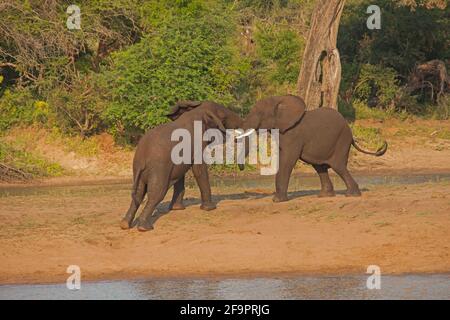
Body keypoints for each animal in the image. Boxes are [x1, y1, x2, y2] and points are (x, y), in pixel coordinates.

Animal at [120, 101, 243, 231]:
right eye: (223, 118)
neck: (197, 110)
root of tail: (142, 157)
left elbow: (179, 175)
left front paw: (177, 209)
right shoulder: (197, 144)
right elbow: (199, 170)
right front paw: (210, 209)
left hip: (138, 169)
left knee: (139, 193)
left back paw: (124, 224)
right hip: (159, 168)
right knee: (156, 194)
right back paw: (145, 228)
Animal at [237, 95, 388, 202]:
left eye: (259, 114)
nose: (242, 168)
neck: (279, 99)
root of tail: (351, 133)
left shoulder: (293, 135)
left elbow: (287, 160)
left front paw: (277, 200)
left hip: (342, 140)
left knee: (338, 166)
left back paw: (351, 195)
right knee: (319, 166)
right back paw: (325, 196)